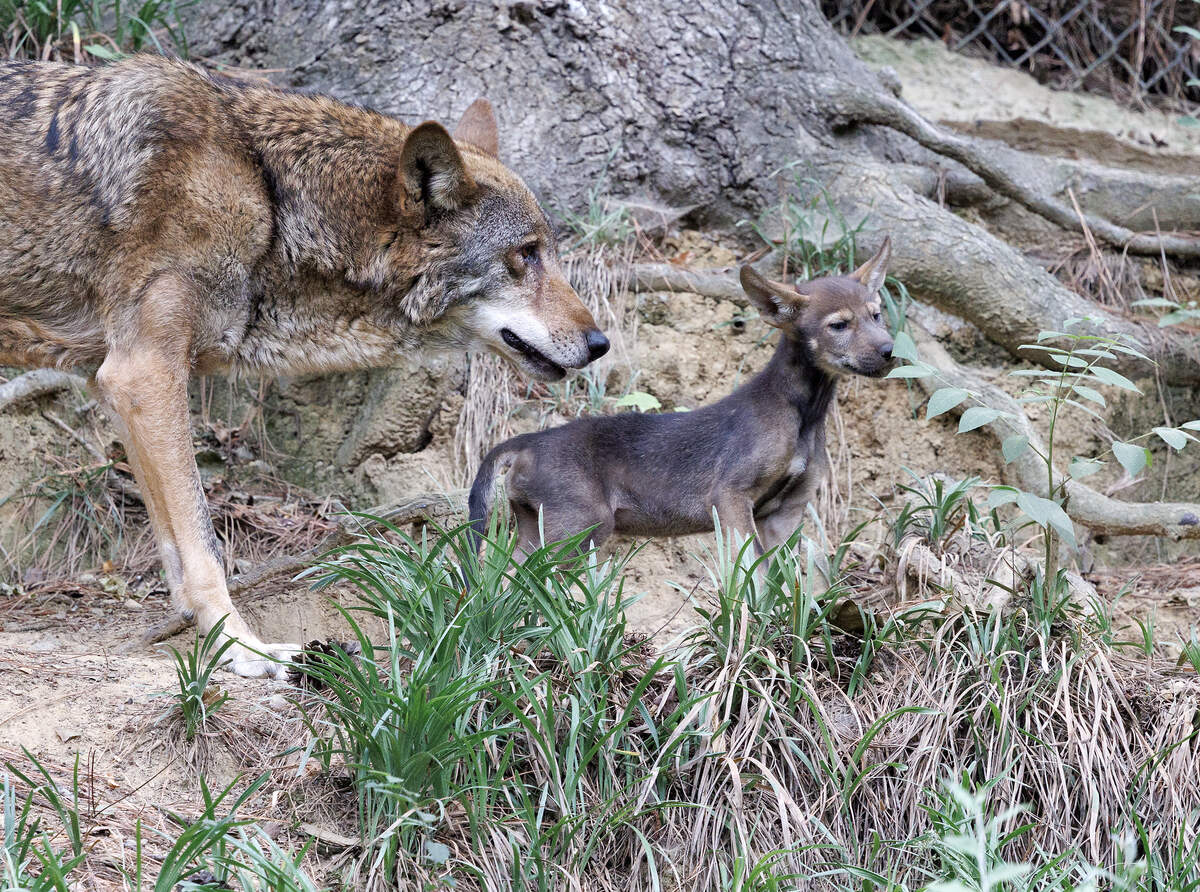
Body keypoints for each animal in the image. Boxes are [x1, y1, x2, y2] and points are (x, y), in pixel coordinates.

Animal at [0, 55, 608, 677]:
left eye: (548, 252)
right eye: (526, 255)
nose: (600, 343)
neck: (270, 198)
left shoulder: (118, 388)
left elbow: (175, 547)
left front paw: (204, 635)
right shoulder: (143, 376)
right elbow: (204, 544)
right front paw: (242, 649)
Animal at [467, 239, 894, 560]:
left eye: (876, 315)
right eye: (838, 325)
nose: (890, 351)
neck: (805, 414)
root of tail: (525, 442)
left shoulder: (786, 509)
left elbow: (793, 587)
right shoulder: (730, 495)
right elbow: (751, 576)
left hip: (538, 524)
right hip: (578, 522)